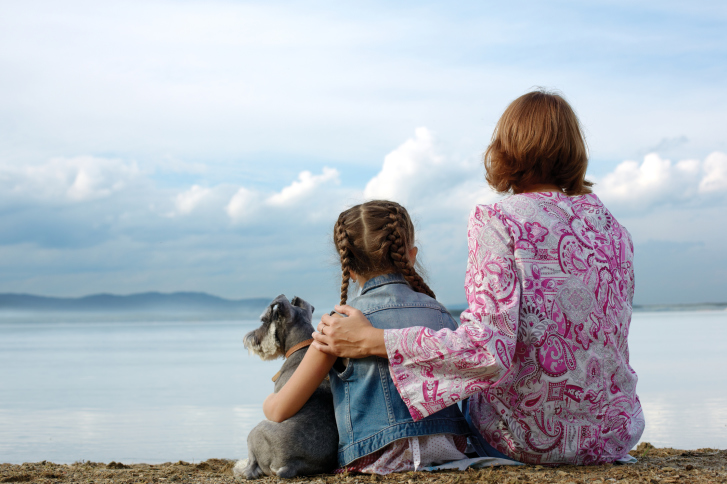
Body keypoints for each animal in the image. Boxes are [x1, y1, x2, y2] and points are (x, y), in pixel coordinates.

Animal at [233, 294, 338, 478]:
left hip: (256, 430)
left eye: (265, 321)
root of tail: (291, 464)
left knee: (252, 466)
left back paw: (242, 468)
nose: (248, 339)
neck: (301, 346)